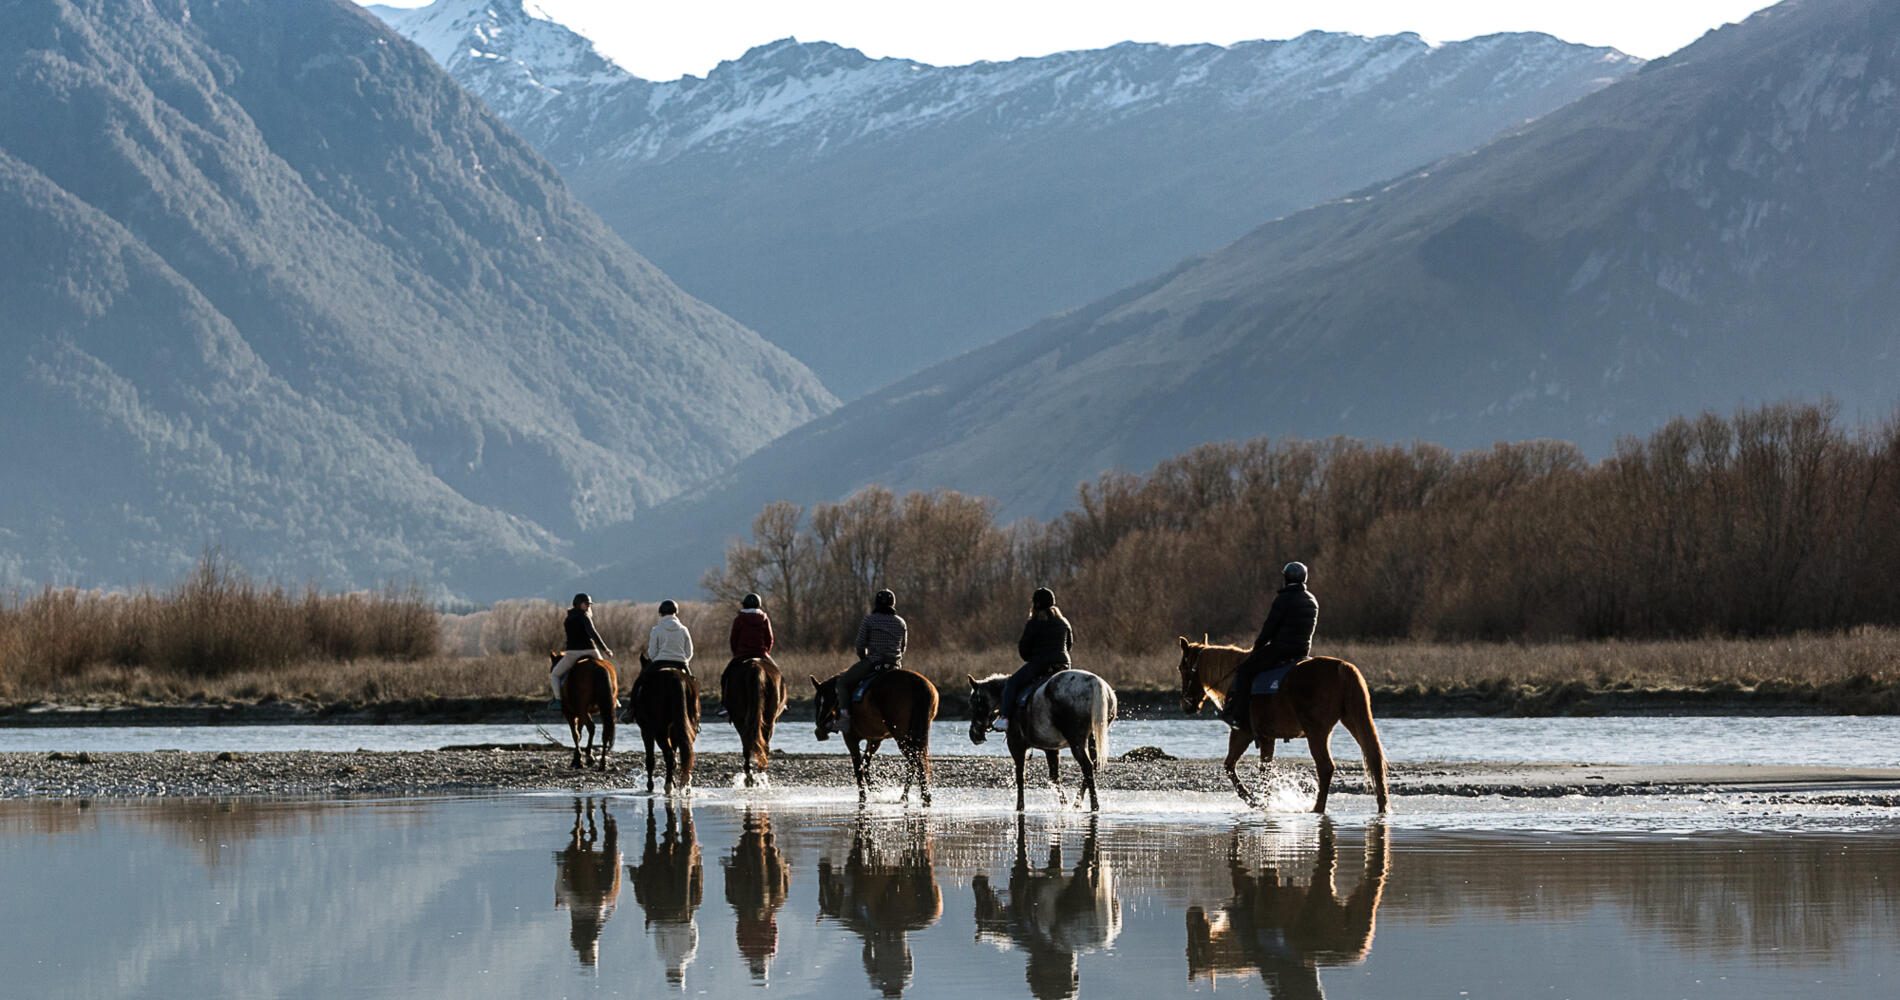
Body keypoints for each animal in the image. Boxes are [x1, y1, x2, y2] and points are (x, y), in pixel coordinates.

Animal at [630, 657, 706, 798]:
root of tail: (676, 678)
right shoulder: (674, 733)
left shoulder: (646, 731)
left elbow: (650, 760)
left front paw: (650, 786)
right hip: (688, 726)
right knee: (684, 754)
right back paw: (685, 786)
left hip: (659, 731)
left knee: (669, 755)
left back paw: (668, 786)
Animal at [722, 657, 790, 790]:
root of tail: (756, 667)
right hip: (767, 719)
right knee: (761, 746)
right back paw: (758, 777)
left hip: (743, 719)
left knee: (749, 746)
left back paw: (752, 778)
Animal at [809, 669, 942, 809]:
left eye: (821, 702)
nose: (819, 731)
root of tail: (916, 682)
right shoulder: (874, 740)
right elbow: (865, 764)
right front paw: (875, 789)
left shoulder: (850, 739)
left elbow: (858, 768)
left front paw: (863, 797)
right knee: (914, 763)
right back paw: (907, 796)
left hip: (901, 737)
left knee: (915, 761)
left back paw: (923, 796)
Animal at [965, 665, 1109, 813]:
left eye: (973, 703)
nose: (974, 734)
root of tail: (1093, 682)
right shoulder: (1051, 748)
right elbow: (1054, 778)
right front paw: (1064, 805)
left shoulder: (1016, 745)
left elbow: (1020, 777)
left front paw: (1020, 807)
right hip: (1091, 740)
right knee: (1093, 766)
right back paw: (1077, 803)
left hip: (1076, 742)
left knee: (1087, 767)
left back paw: (1094, 805)